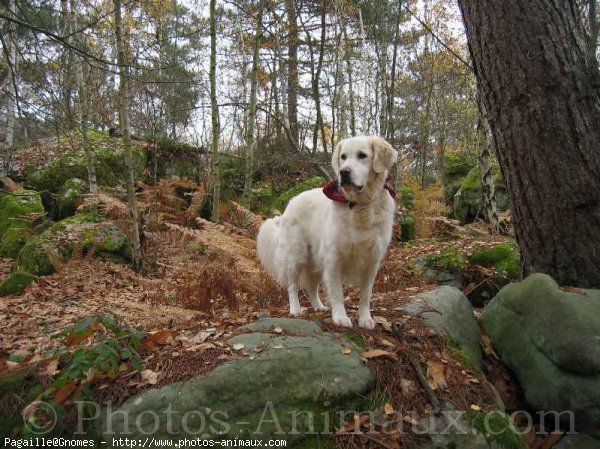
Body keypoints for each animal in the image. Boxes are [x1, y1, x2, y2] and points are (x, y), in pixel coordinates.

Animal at [254, 135, 398, 328]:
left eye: (362, 155)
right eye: (343, 157)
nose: (344, 172)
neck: (358, 205)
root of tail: (290, 204)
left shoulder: (372, 261)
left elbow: (366, 295)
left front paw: (365, 319)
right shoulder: (334, 258)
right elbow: (337, 293)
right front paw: (340, 317)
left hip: (314, 261)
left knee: (312, 287)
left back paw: (319, 306)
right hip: (296, 256)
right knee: (292, 285)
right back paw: (295, 309)